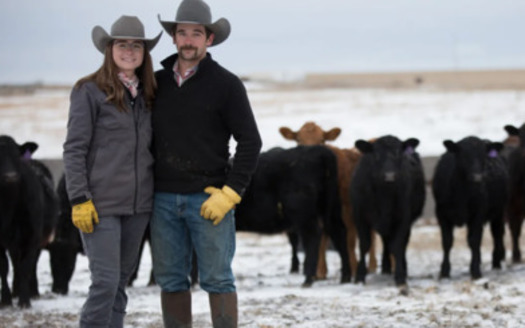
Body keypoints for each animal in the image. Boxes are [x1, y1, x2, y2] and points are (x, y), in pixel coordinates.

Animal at [0, 135, 57, 308]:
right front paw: (6, 300)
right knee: (15, 263)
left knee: (31, 264)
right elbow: (4, 267)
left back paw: (33, 292)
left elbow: (26, 266)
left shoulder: (32, 236)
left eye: (17, 156)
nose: (10, 176)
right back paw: (15, 291)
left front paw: (24, 301)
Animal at [235, 146, 350, 288]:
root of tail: (318, 150)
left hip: (303, 213)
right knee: (338, 232)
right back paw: (345, 277)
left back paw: (308, 278)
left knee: (313, 236)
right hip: (331, 207)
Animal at [348, 135, 426, 288]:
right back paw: (385, 268)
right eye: (376, 155)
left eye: (399, 153)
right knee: (385, 240)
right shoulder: (360, 216)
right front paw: (360, 276)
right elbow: (364, 245)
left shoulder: (403, 218)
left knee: (399, 244)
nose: (389, 176)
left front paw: (400, 276)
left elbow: (397, 245)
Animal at [430, 136, 508, 280]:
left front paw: (475, 271)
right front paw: (444, 271)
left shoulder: (478, 214)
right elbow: (447, 242)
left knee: (497, 233)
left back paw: (496, 263)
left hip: (499, 211)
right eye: (464, 155)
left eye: (483, 156)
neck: (462, 195)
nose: (478, 177)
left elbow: (474, 241)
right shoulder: (442, 214)